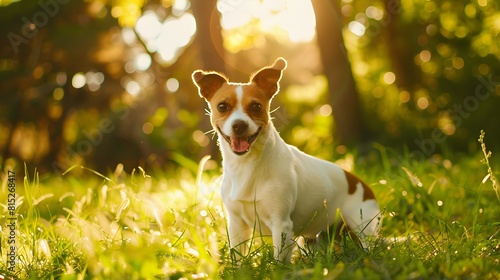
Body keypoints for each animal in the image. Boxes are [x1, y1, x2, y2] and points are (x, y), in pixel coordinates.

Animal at [193, 57, 380, 262]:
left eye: (256, 106)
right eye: (222, 106)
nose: (239, 125)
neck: (247, 166)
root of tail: (363, 185)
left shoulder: (281, 224)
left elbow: (279, 261)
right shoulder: (236, 225)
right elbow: (238, 257)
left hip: (363, 227)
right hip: (315, 239)